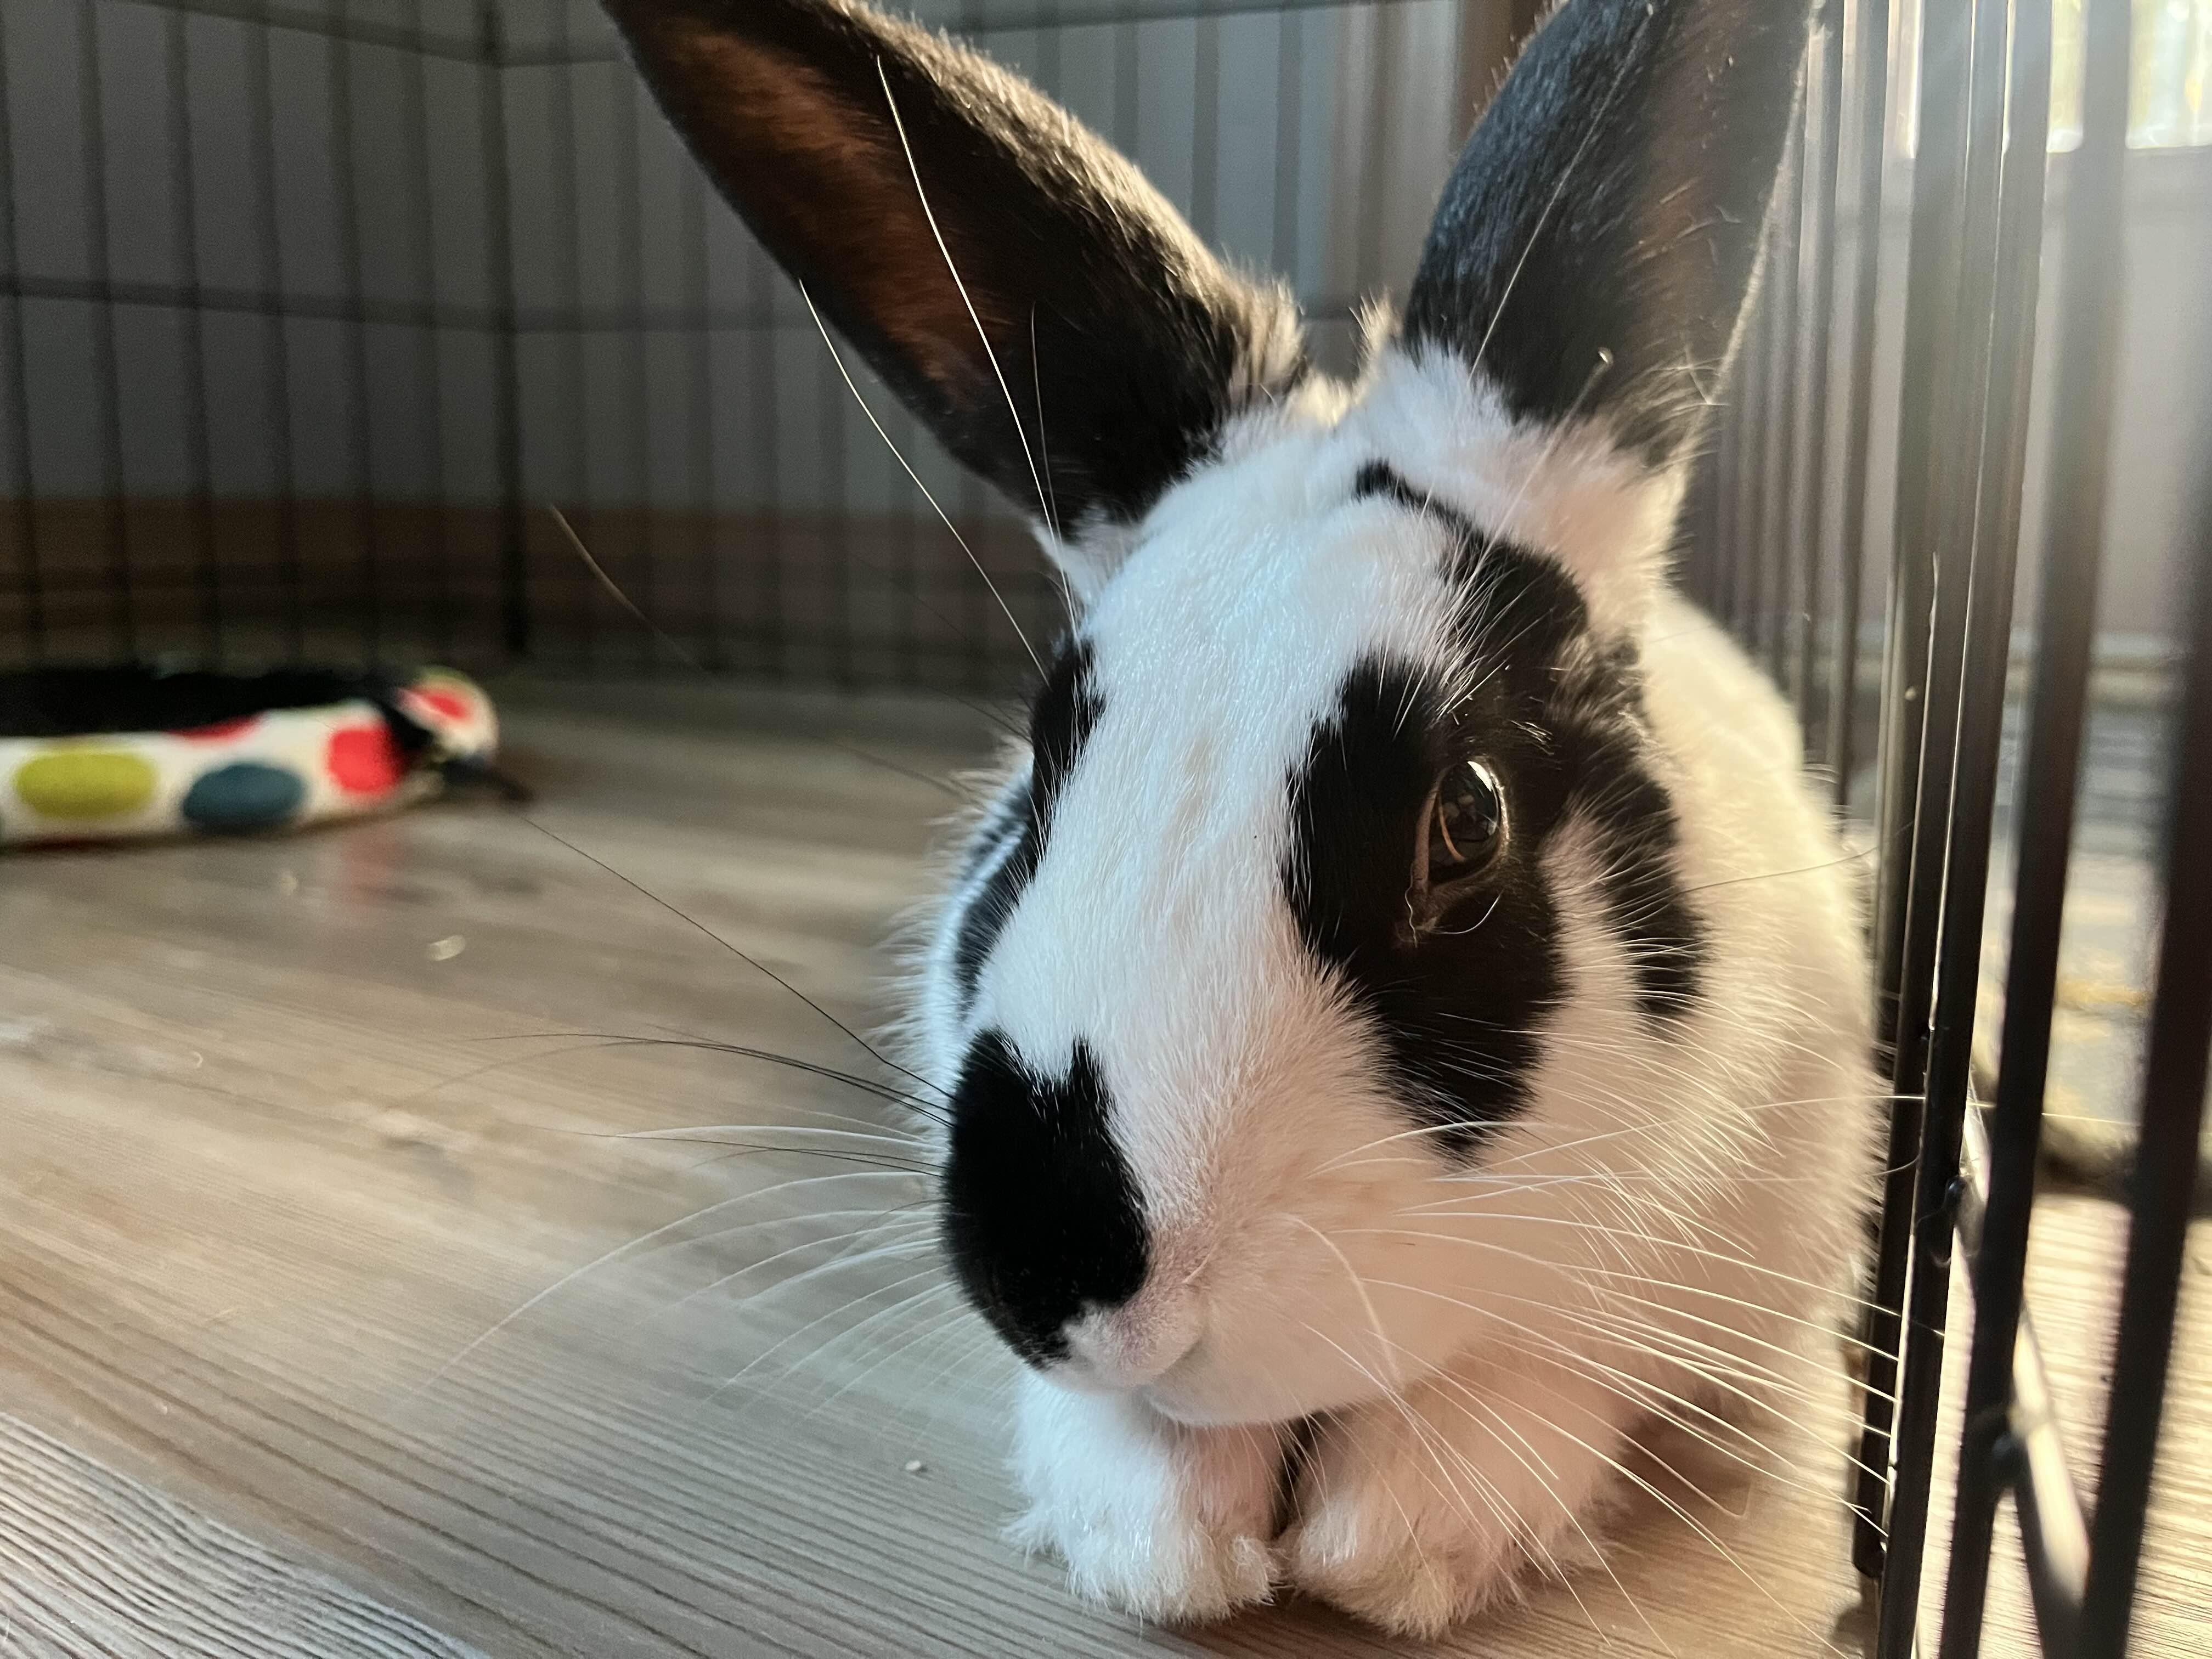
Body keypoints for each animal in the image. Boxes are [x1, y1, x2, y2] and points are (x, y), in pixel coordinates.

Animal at [607, 0, 1880, 1636]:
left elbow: (1549, 1379)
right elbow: (1123, 1447)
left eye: (1465, 823)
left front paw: (1392, 1536)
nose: (1052, 1264)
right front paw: (1168, 1537)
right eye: (1046, 760)